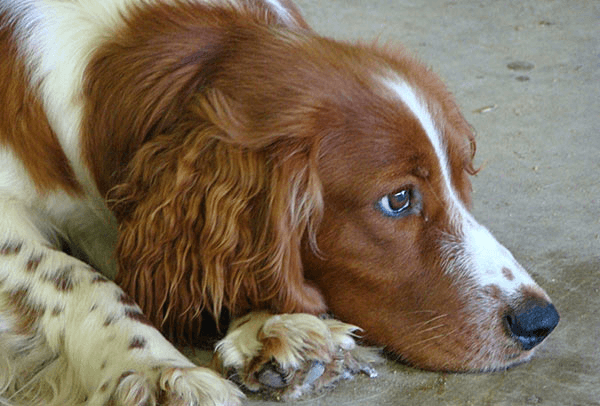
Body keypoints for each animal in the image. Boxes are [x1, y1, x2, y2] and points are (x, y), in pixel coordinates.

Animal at [1, 0, 564, 404]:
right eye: (399, 199)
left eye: (463, 176)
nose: (541, 322)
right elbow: (75, 279)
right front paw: (161, 369)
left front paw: (276, 328)